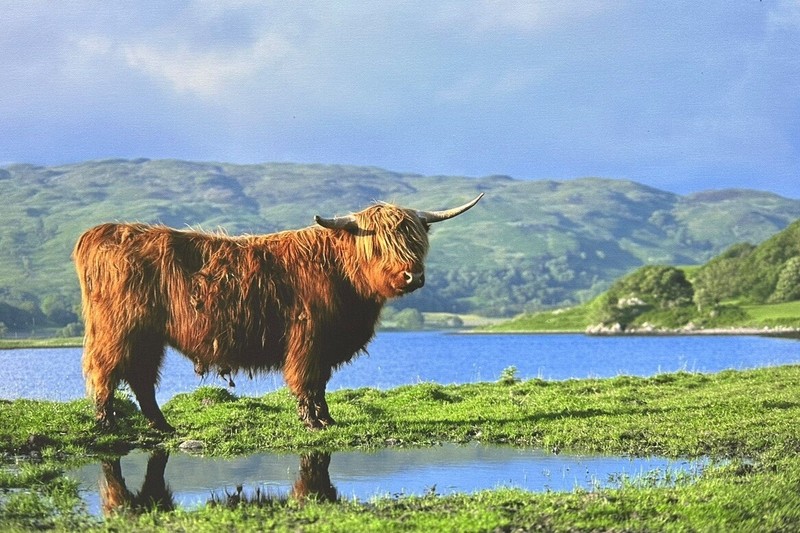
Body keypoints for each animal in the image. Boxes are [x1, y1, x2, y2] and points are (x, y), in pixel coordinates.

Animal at [74, 194, 482, 431]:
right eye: (379, 245)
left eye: (417, 240)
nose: (414, 275)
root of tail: (102, 232)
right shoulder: (309, 339)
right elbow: (307, 382)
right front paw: (314, 422)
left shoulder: (324, 345)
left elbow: (320, 384)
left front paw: (328, 418)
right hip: (119, 329)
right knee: (106, 371)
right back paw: (108, 423)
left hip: (148, 337)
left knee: (141, 377)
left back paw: (162, 426)